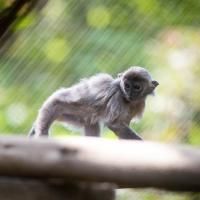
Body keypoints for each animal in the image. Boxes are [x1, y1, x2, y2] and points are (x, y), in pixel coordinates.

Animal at [28, 66, 159, 140]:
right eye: (126, 85)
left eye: (136, 87)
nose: (129, 92)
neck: (129, 101)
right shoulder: (117, 96)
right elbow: (114, 124)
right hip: (53, 106)